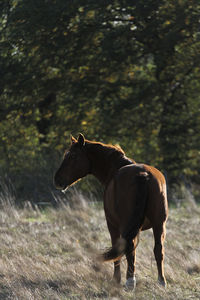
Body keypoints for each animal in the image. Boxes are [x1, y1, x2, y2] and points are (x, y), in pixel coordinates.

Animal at [54, 133, 168, 288]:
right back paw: (161, 281)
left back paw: (130, 281)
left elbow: (118, 249)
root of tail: (143, 175)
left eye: (72, 156)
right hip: (159, 224)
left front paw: (116, 279)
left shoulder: (112, 225)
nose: (57, 179)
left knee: (129, 248)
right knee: (158, 249)